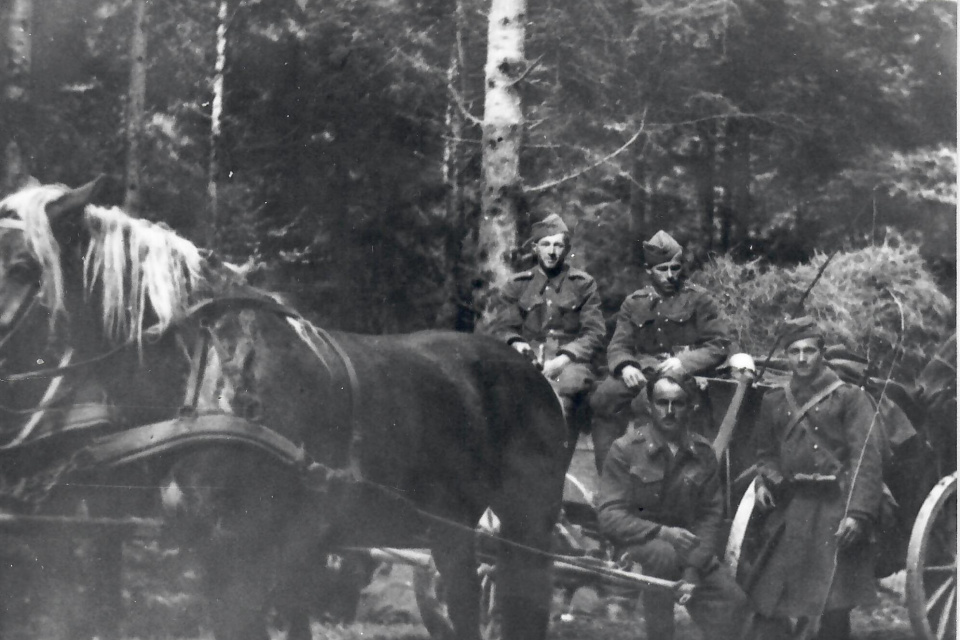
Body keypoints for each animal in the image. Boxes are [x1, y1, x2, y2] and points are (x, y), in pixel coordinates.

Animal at [0, 179, 568, 640]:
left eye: (24, 266)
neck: (205, 376)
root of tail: (532, 374)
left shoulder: (242, 551)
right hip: (453, 528)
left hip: (528, 528)